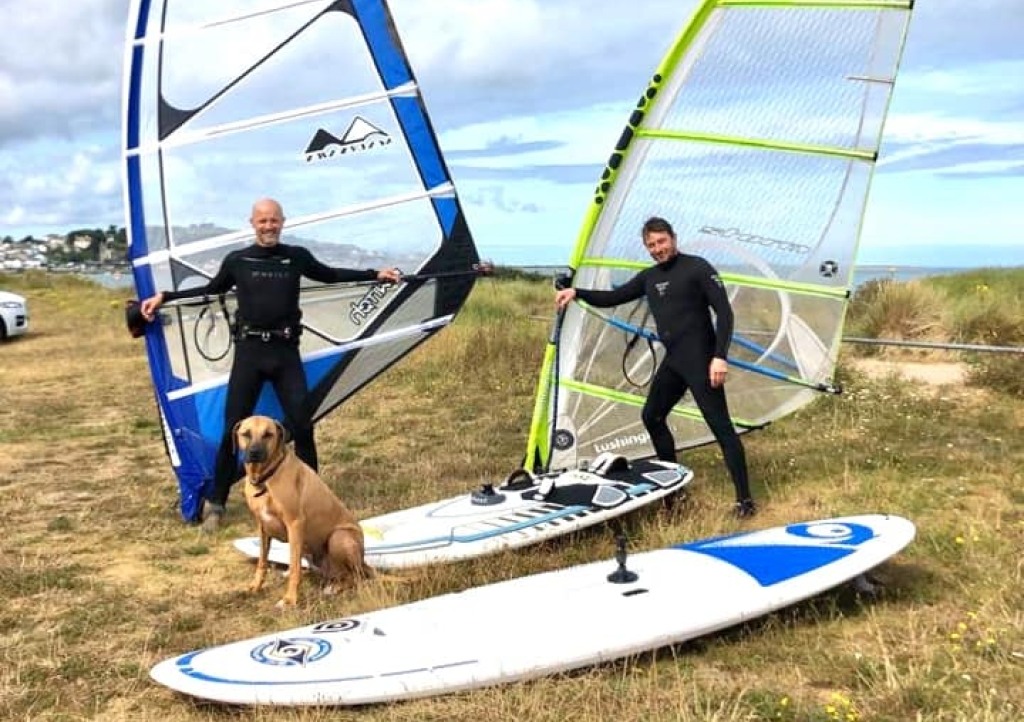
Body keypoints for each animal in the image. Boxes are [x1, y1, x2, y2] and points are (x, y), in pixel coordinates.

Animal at [235, 413, 372, 606]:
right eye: (246, 434)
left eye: (268, 434)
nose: (254, 453)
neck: (266, 479)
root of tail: (364, 561)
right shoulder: (262, 527)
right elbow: (262, 561)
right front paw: (256, 586)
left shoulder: (295, 524)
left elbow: (294, 567)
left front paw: (289, 599)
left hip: (339, 537)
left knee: (357, 577)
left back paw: (335, 588)